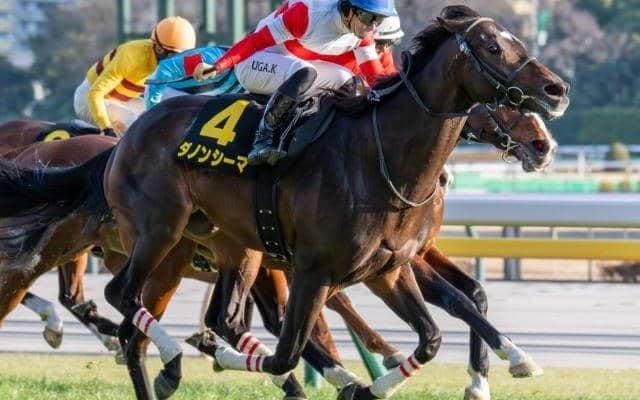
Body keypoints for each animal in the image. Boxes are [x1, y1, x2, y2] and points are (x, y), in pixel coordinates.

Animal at [0, 6, 569, 399]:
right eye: (492, 48)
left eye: (518, 42)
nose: (556, 93)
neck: (381, 156)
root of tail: (121, 143)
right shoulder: (313, 271)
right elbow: (285, 351)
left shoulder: (390, 268)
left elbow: (440, 326)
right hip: (157, 234)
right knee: (118, 298)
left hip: (225, 247)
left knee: (160, 322)